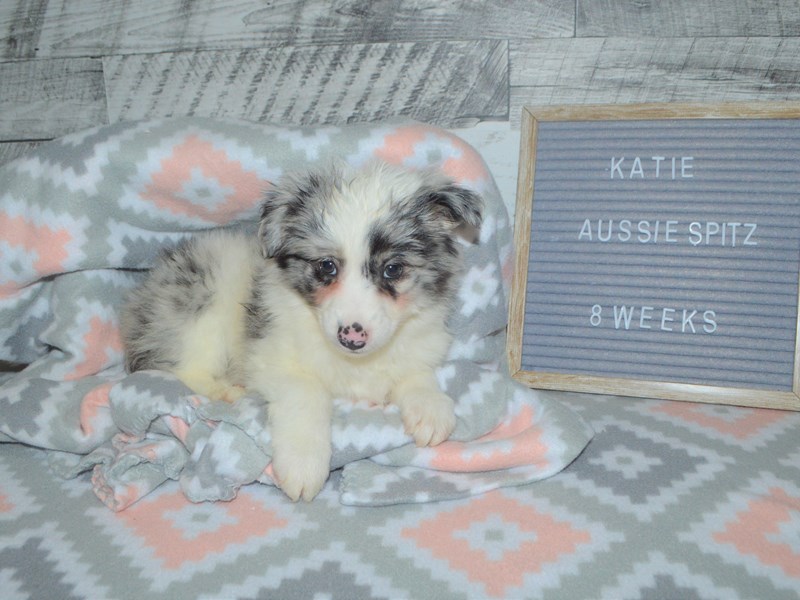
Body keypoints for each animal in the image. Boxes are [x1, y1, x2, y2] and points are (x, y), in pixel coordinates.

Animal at [119, 163, 482, 502]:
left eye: (393, 269)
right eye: (326, 266)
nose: (351, 337)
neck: (356, 363)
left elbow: (415, 373)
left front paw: (430, 408)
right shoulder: (272, 357)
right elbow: (307, 396)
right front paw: (303, 466)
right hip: (202, 302)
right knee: (182, 369)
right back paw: (226, 392)